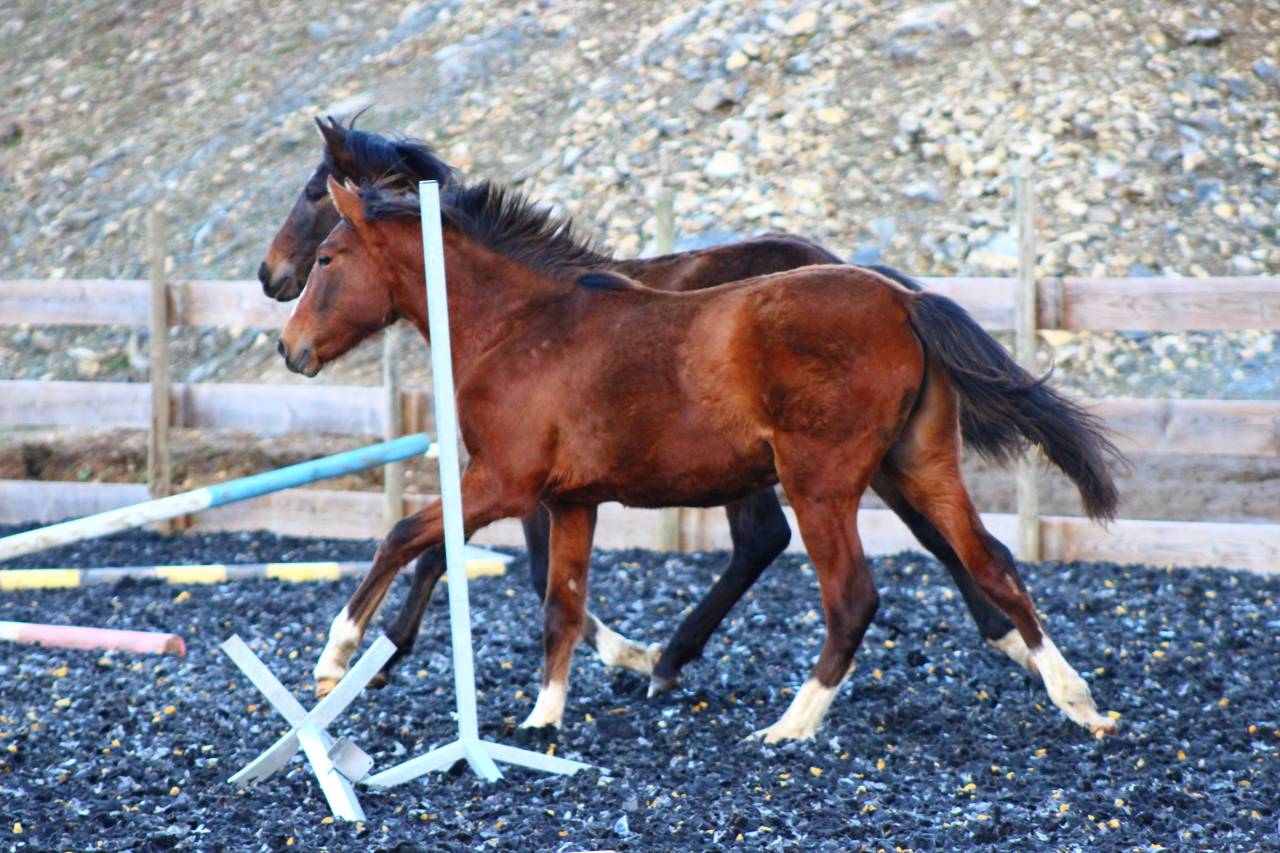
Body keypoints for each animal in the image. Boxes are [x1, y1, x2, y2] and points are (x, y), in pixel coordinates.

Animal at [276, 176, 1122, 742]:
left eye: (328, 256)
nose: (290, 348)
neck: (518, 324)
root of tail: (903, 300)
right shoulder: (570, 499)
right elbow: (560, 605)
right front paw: (543, 719)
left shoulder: (502, 483)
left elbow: (404, 537)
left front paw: (339, 654)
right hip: (918, 467)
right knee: (992, 562)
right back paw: (1078, 699)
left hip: (819, 483)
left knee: (852, 596)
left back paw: (787, 724)